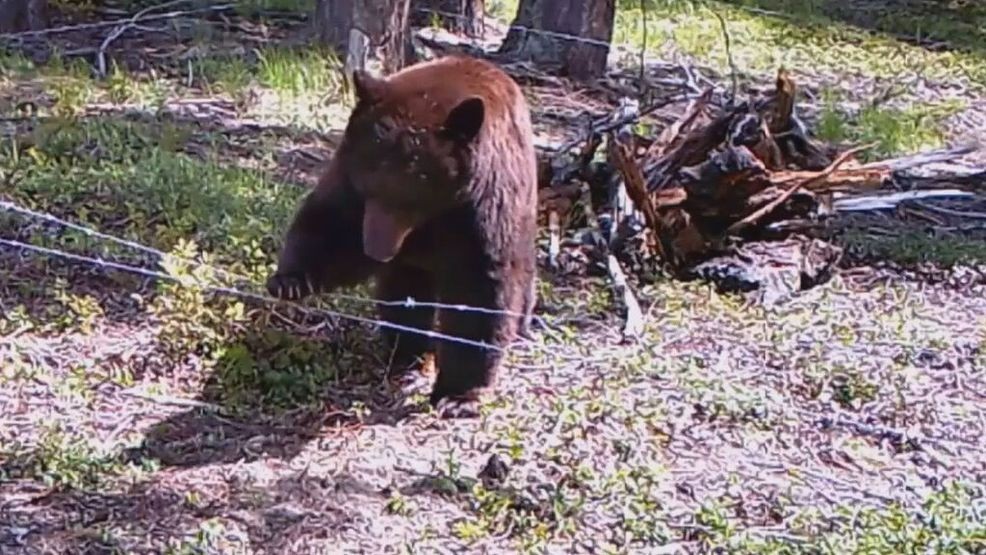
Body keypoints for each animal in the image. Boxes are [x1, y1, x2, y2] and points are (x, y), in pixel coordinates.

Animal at [265, 54, 539, 418]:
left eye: (410, 200)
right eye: (369, 188)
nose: (376, 250)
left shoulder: (480, 208)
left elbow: (479, 289)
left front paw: (458, 396)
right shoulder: (349, 182)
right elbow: (331, 224)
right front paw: (290, 280)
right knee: (404, 291)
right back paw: (407, 350)